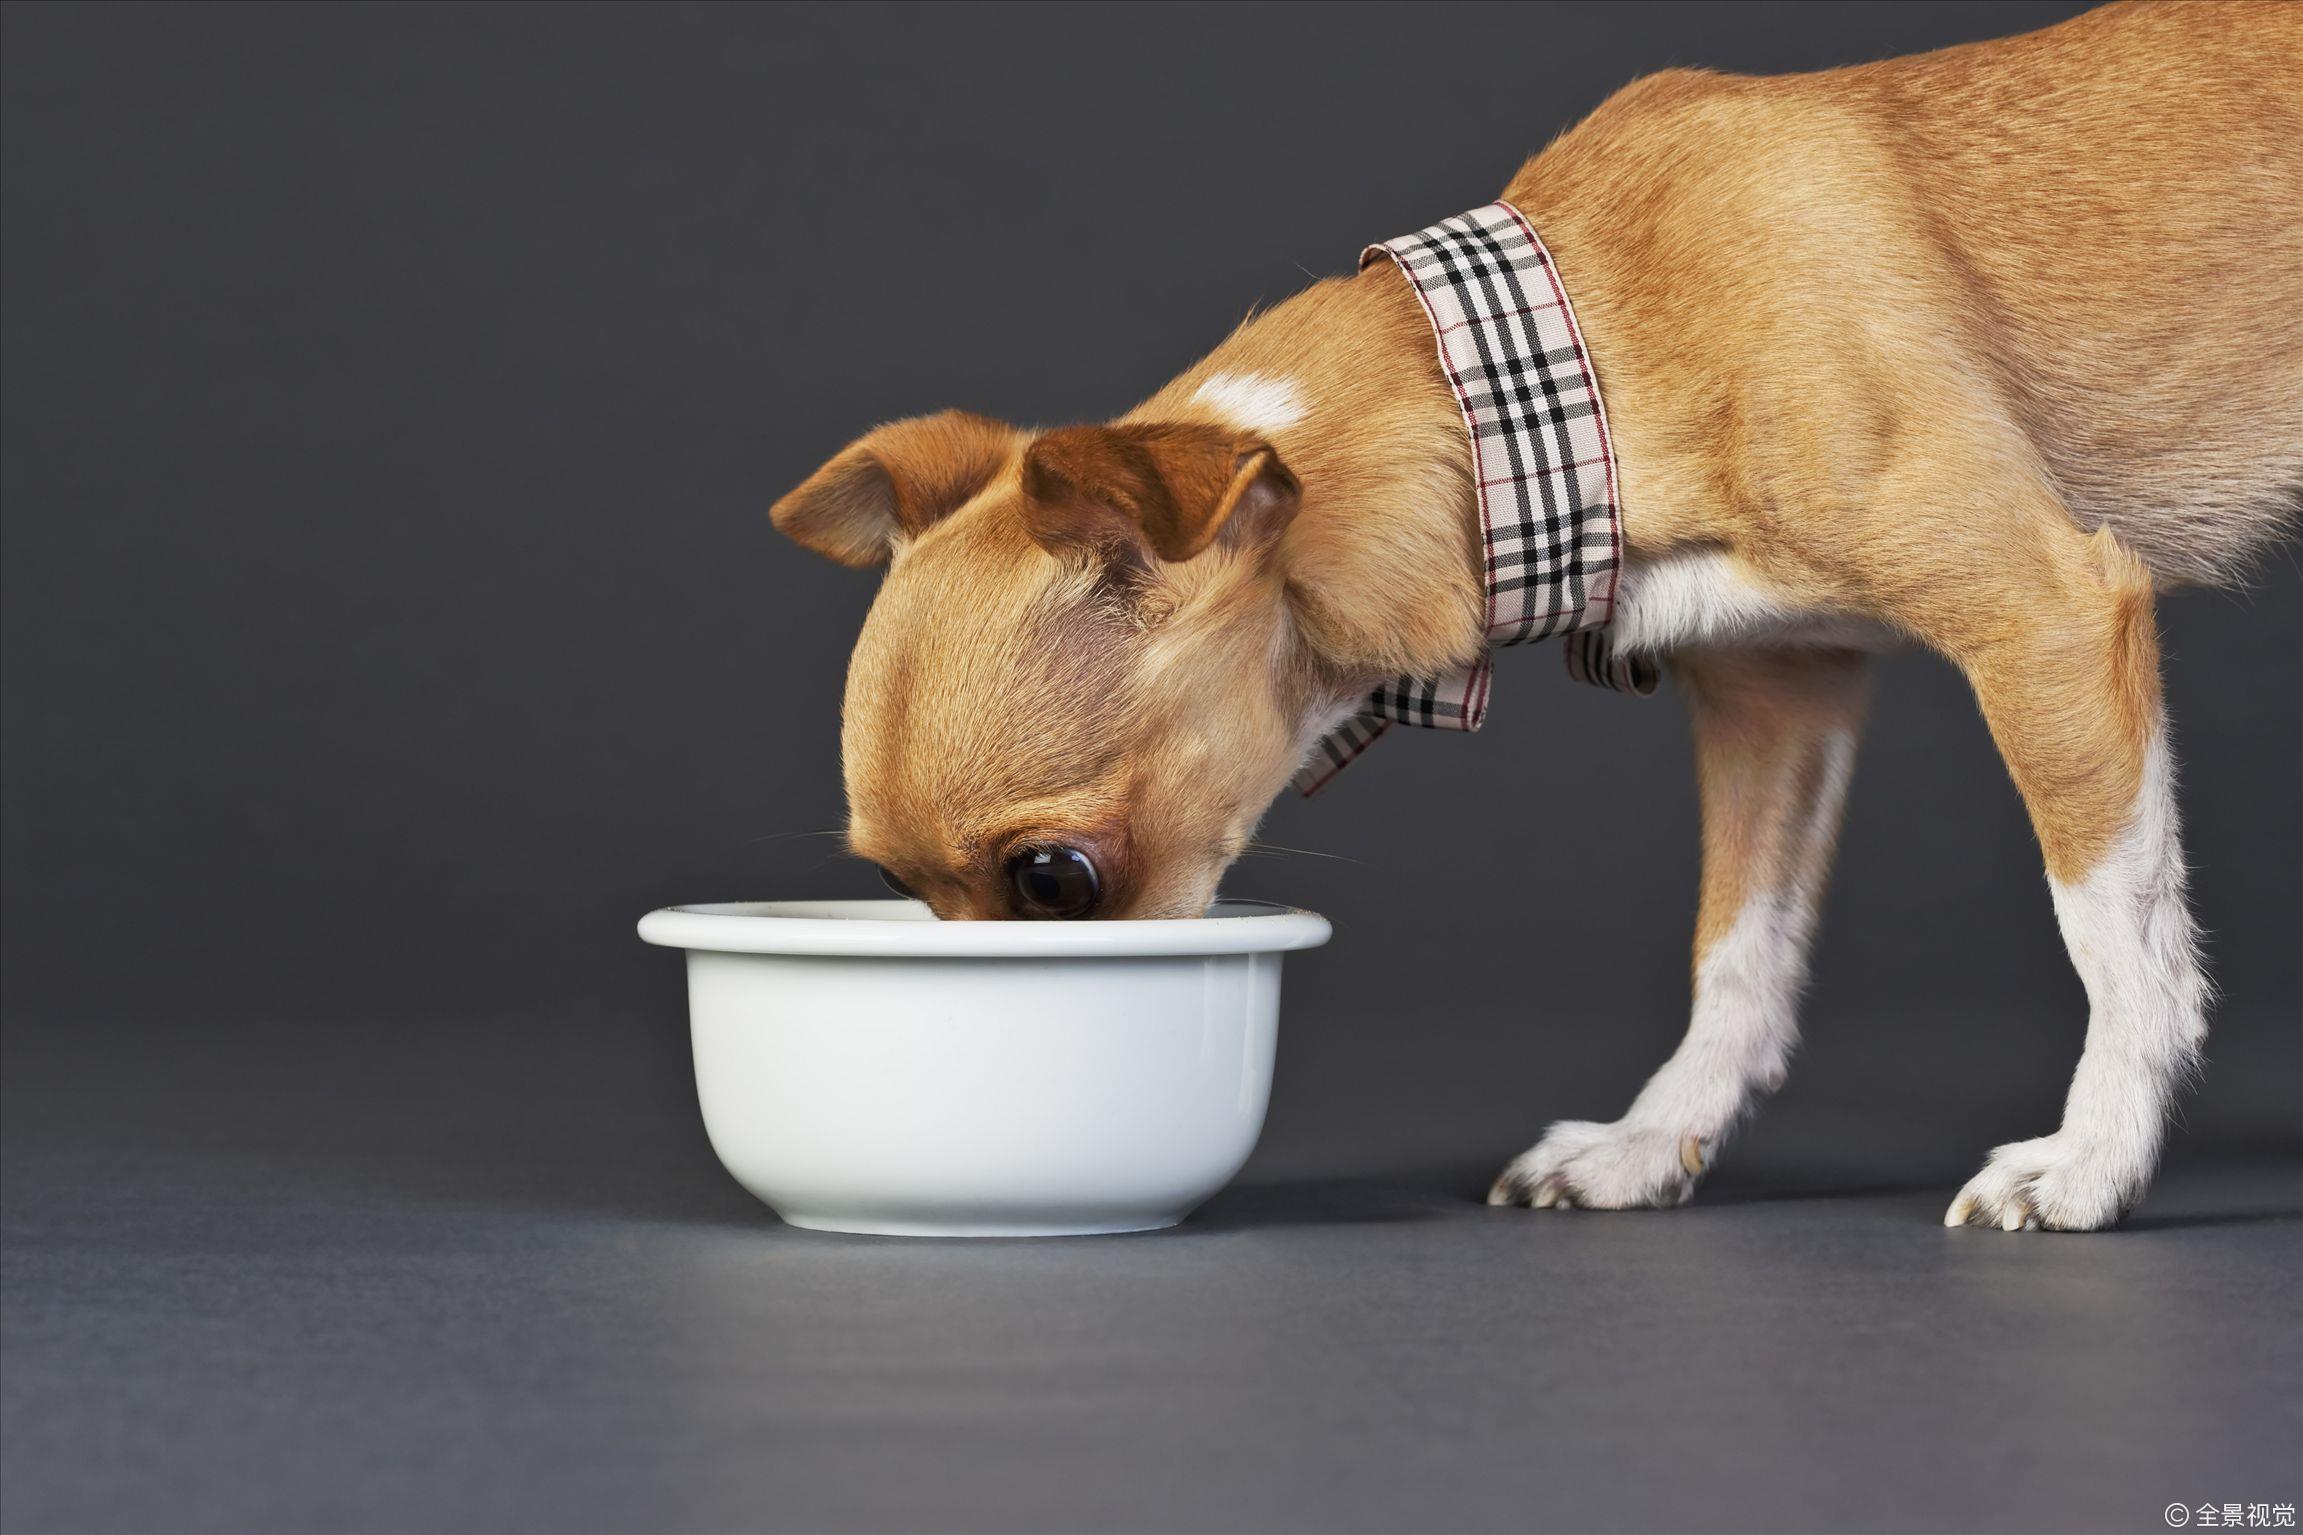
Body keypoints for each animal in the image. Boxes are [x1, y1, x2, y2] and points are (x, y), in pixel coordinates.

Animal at [773, 0, 2303, 1224]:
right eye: (898, 893)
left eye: (1054, 882)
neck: (1576, 359)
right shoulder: (1780, 690)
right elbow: (1736, 950)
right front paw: (1649, 1139)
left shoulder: (2041, 620)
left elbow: (2114, 936)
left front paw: (2092, 1159)